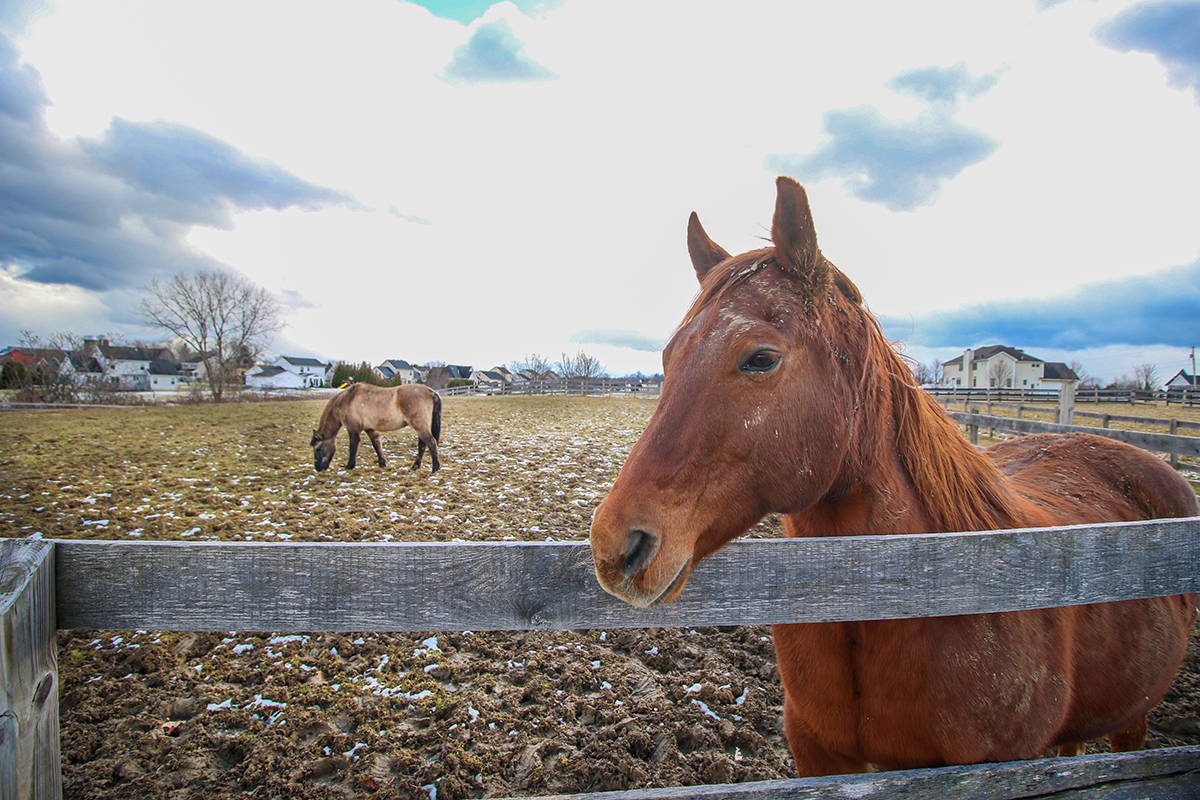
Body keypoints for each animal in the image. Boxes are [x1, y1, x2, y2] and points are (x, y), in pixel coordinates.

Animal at [310, 382, 441, 473]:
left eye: (318, 449)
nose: (318, 468)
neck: (348, 400)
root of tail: (430, 391)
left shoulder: (353, 429)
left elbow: (353, 448)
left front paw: (350, 466)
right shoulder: (370, 429)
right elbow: (376, 444)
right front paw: (382, 463)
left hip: (419, 425)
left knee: (430, 442)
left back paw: (435, 468)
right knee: (423, 444)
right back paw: (415, 466)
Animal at [589, 177, 1197, 776]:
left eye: (760, 358)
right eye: (668, 357)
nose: (614, 546)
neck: (900, 589)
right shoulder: (818, 755)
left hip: (1133, 717)